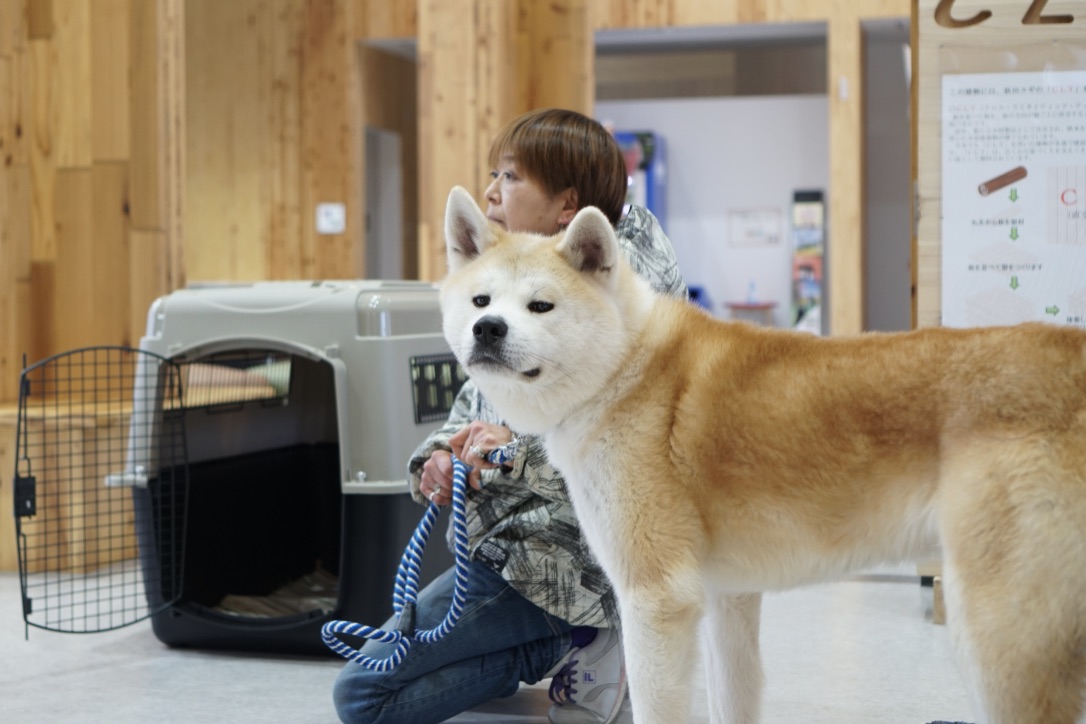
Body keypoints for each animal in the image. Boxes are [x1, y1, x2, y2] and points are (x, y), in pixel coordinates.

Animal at [436, 186, 1086, 724]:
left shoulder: (658, 599)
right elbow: (735, 698)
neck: (628, 367)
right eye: (481, 300)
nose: (488, 329)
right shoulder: (730, 599)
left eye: (540, 306)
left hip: (1000, 639)